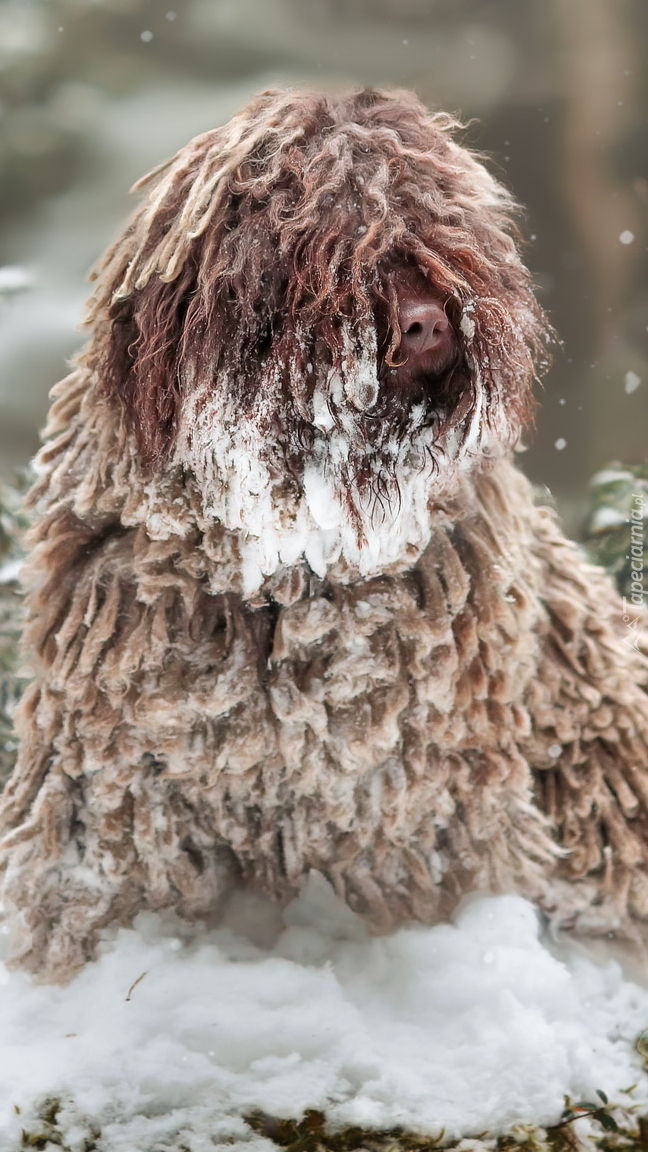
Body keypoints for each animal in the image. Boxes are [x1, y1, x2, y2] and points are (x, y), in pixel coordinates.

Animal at [1, 87, 645, 981]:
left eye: (439, 229)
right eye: (326, 243)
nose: (428, 322)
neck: (291, 555)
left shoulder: (415, 793)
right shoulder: (117, 768)